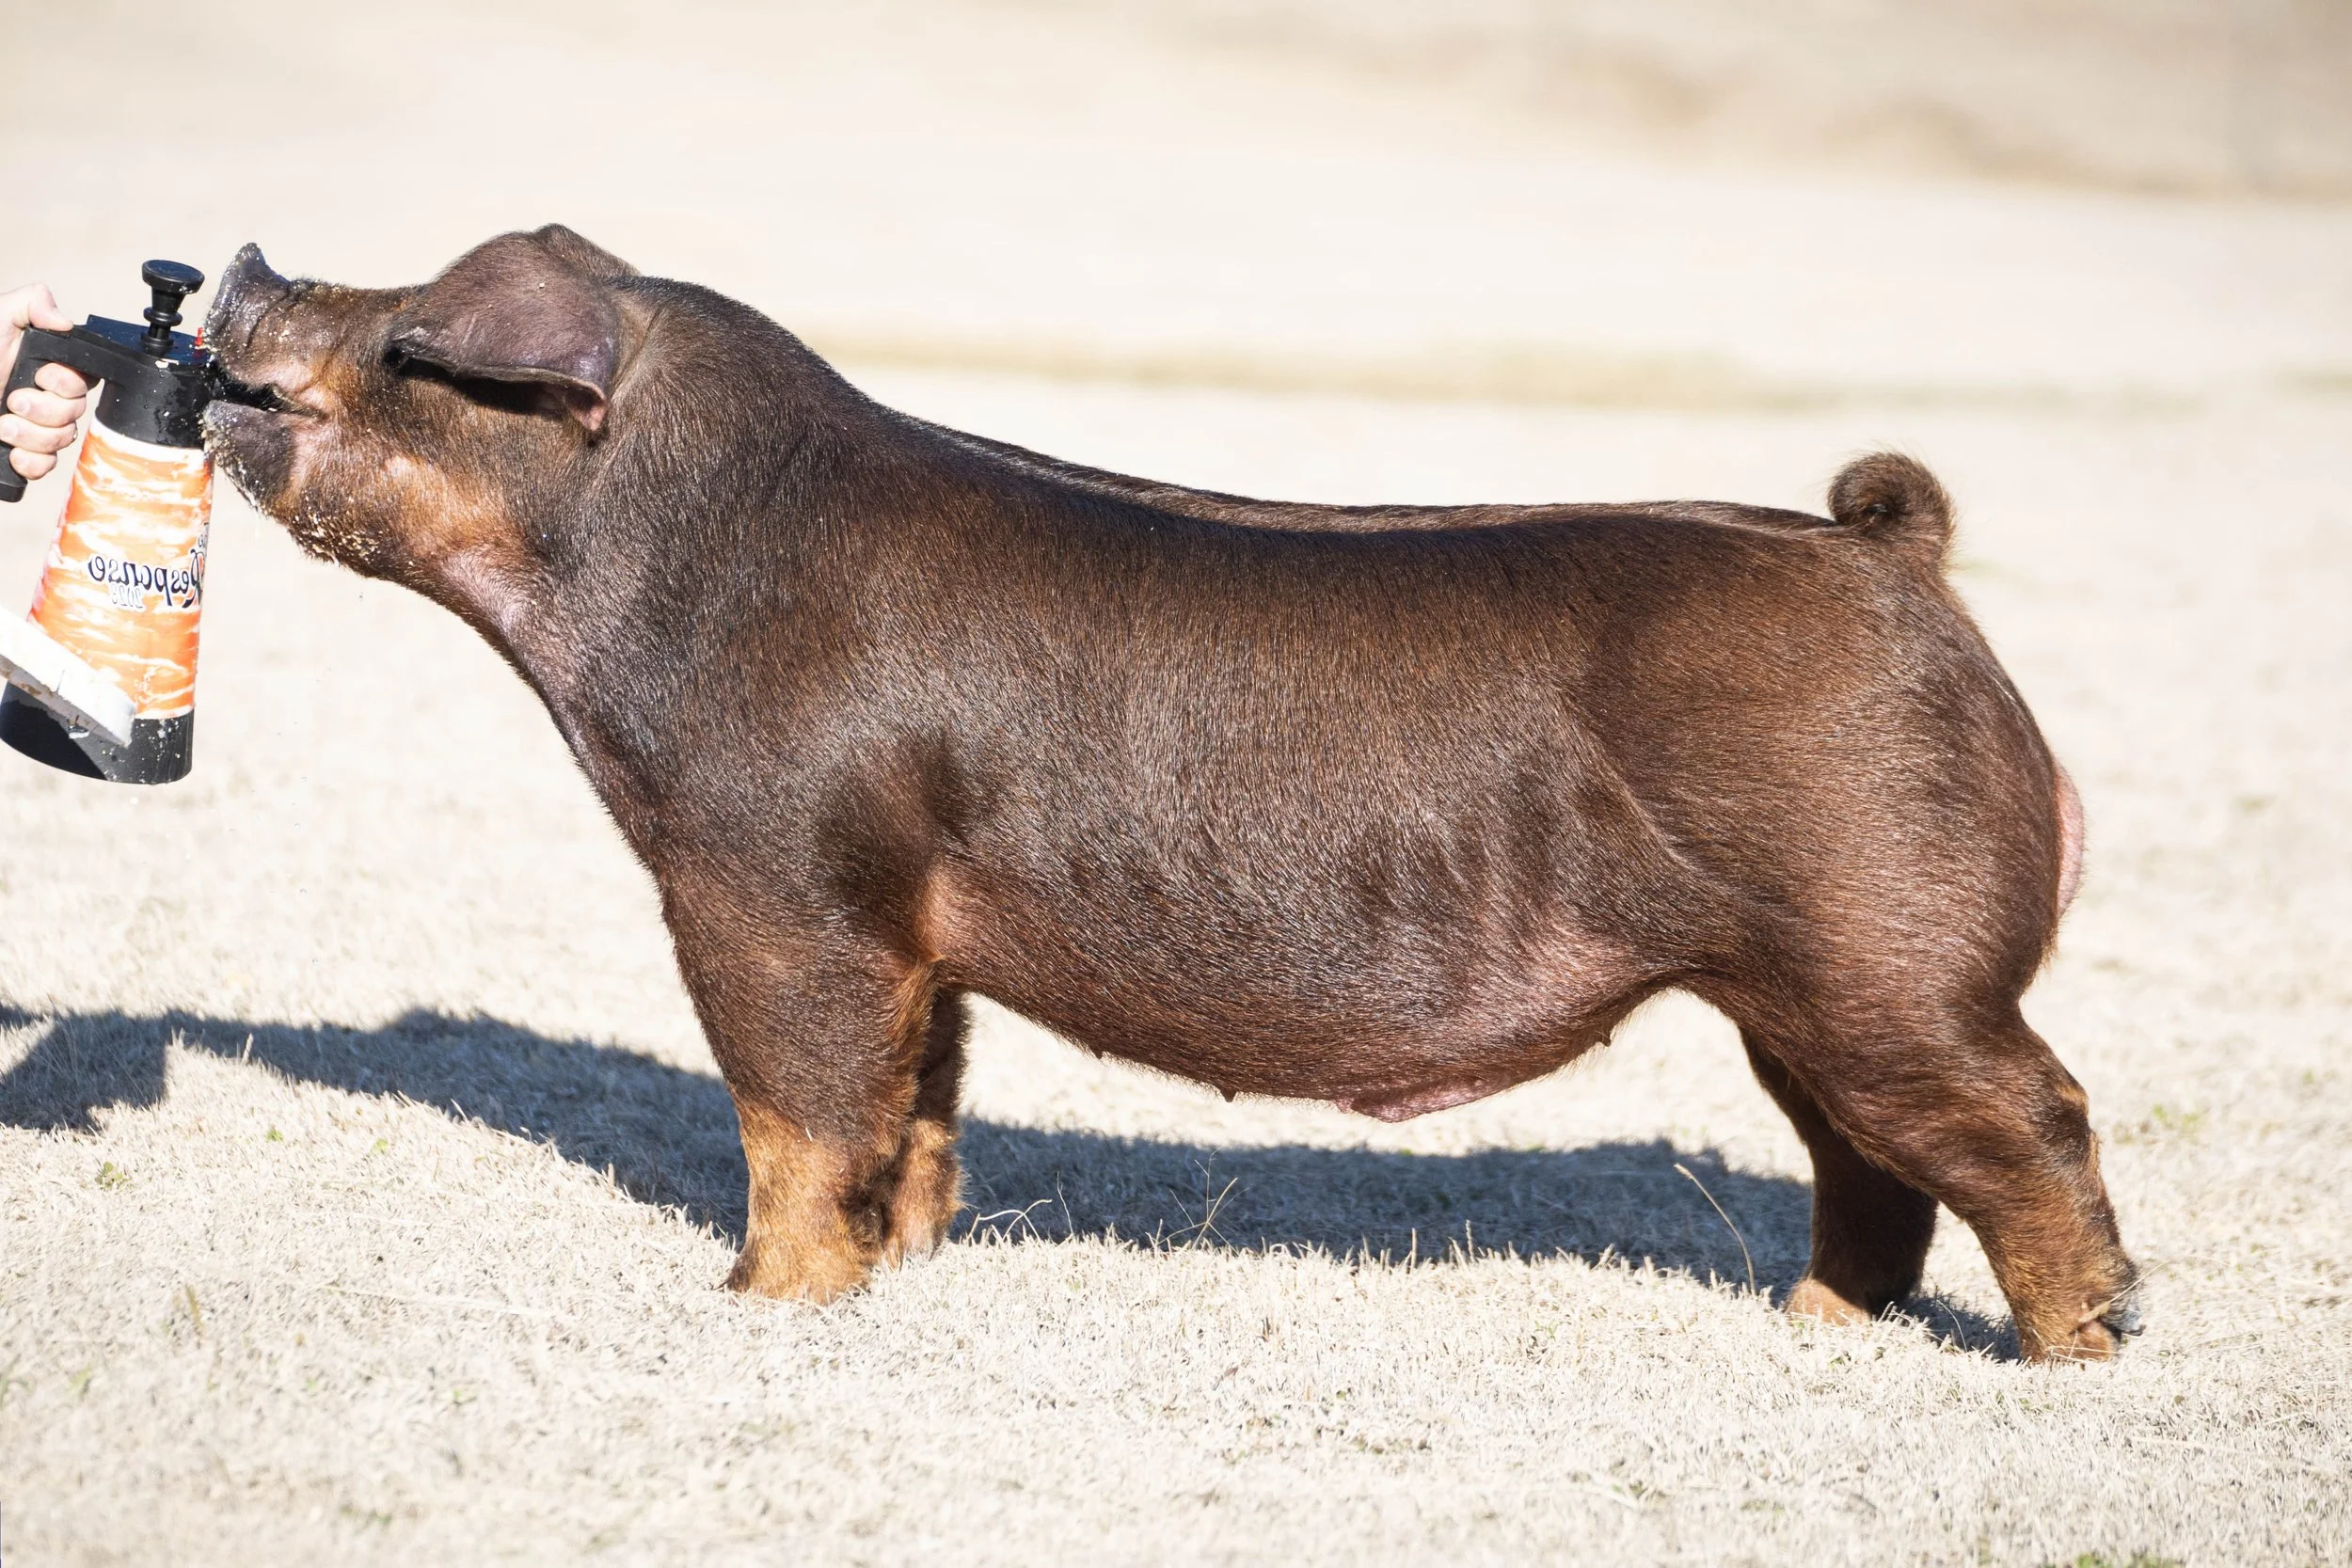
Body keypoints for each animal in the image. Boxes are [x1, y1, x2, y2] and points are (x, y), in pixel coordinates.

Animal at [202, 226, 2140, 1361]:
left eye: (409, 330)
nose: (241, 258)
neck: (655, 575)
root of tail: (1899, 557)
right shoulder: (912, 923)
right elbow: (920, 1107)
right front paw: (901, 1274)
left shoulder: (769, 877)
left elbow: (794, 1113)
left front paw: (759, 1304)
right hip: (1802, 988)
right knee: (1873, 1162)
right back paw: (1810, 1331)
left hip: (1888, 953)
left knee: (2033, 1119)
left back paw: (2076, 1351)